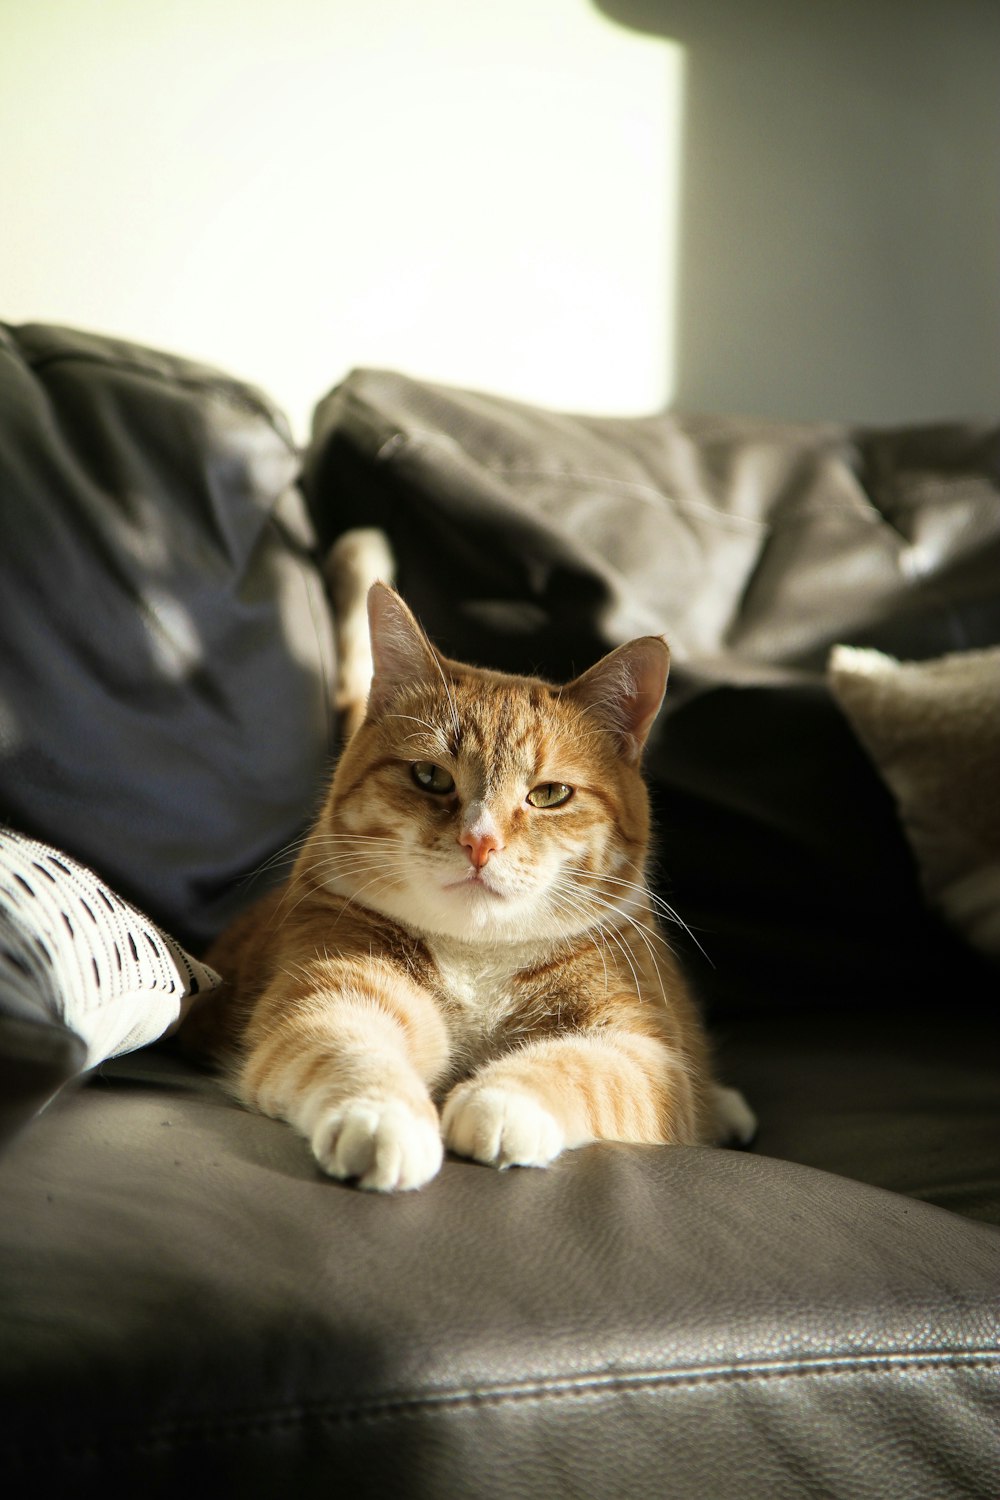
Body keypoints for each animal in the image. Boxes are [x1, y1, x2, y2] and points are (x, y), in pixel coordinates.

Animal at [183, 534, 755, 1188]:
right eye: (431, 777)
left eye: (549, 794)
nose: (480, 842)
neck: (477, 963)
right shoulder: (328, 994)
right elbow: (346, 1045)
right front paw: (382, 1118)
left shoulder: (646, 1052)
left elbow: (584, 1066)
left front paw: (499, 1101)